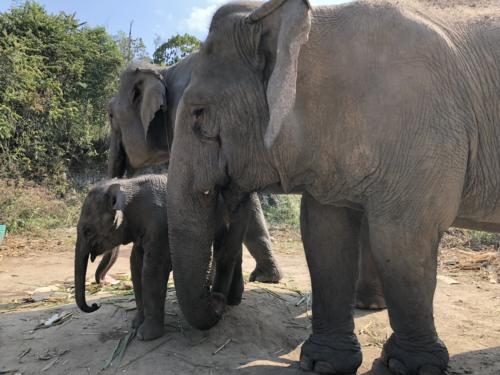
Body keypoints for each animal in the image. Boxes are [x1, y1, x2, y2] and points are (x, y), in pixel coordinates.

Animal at [73, 175, 247, 342]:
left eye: (88, 231)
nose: (95, 304)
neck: (129, 183)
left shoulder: (160, 228)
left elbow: (152, 272)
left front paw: (145, 336)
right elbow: (136, 266)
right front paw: (136, 325)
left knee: (225, 253)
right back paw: (231, 299)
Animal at [163, 0, 500, 375]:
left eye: (199, 114)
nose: (220, 300)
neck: (309, 29)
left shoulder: (422, 127)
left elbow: (401, 238)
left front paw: (406, 367)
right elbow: (325, 235)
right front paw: (322, 363)